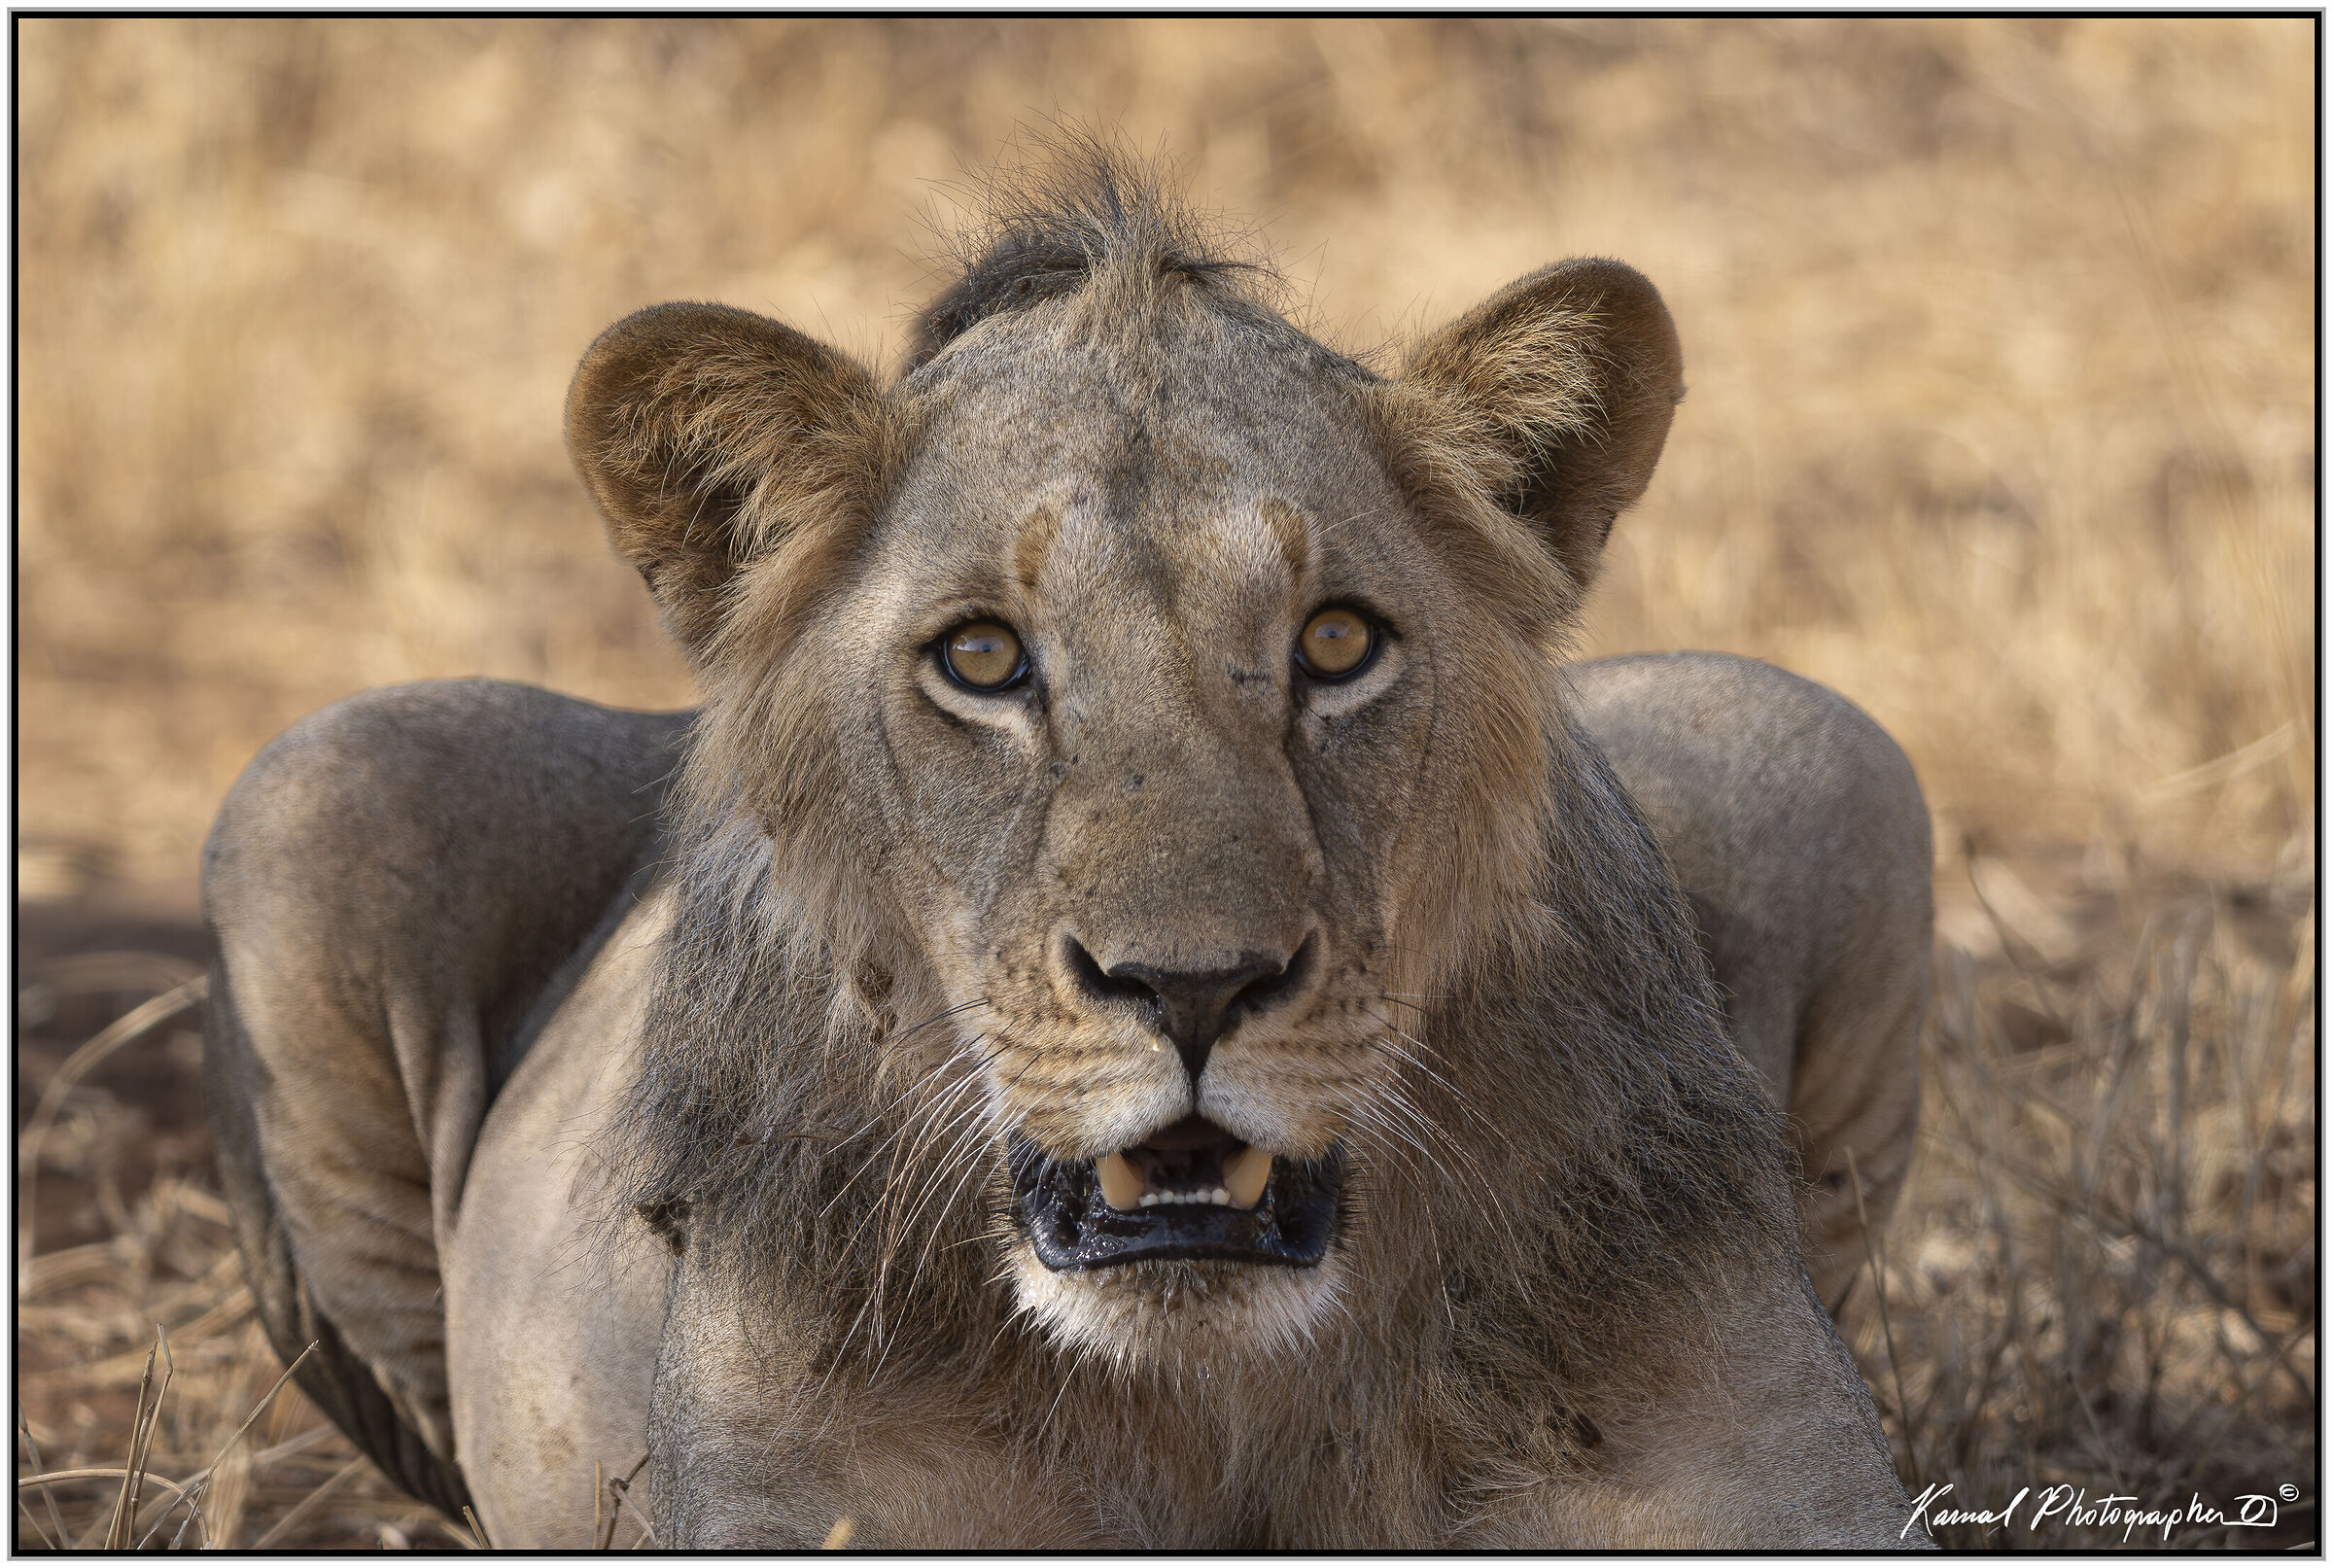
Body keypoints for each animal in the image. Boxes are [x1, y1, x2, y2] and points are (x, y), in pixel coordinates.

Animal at [202, 150, 1931, 1548]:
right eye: (982, 660)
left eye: (1338, 642)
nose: (1195, 988)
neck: (1220, 1393)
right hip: (317, 786)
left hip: (1819, 745)